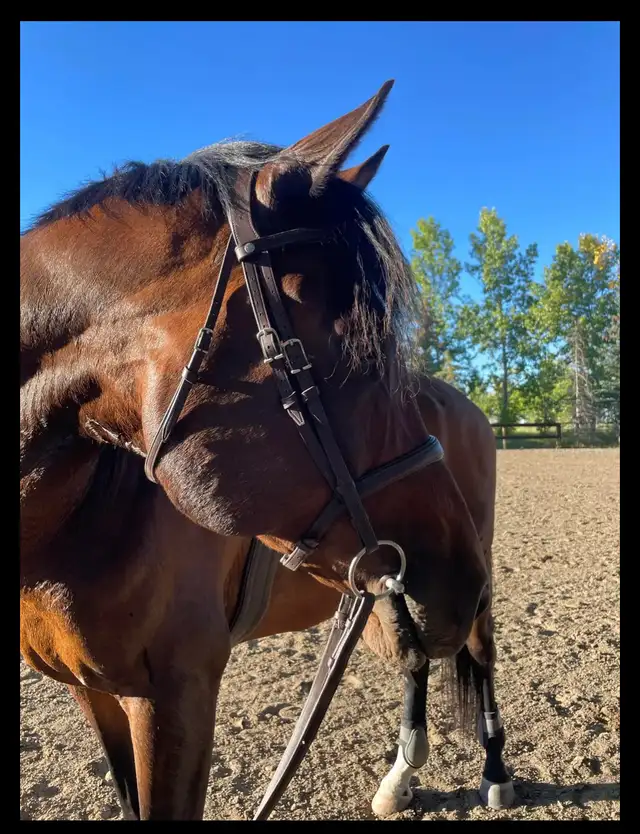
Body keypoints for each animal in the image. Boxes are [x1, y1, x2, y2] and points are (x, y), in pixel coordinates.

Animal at [20, 80, 513, 820]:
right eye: (355, 346)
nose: (459, 579)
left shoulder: (176, 697)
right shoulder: (95, 693)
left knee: (478, 654)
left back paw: (494, 770)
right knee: (416, 657)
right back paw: (400, 775)